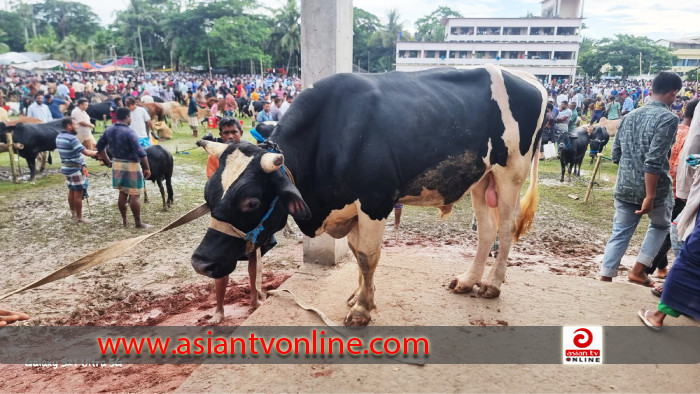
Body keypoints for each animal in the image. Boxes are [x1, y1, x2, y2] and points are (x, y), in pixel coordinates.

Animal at [191, 66, 548, 326]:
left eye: (250, 202)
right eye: (209, 194)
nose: (201, 261)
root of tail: (531, 79)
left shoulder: (376, 201)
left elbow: (367, 256)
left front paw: (362, 308)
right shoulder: (351, 208)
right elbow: (356, 253)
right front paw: (359, 295)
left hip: (510, 173)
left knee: (506, 227)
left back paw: (492, 285)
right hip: (481, 179)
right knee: (486, 231)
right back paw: (468, 280)